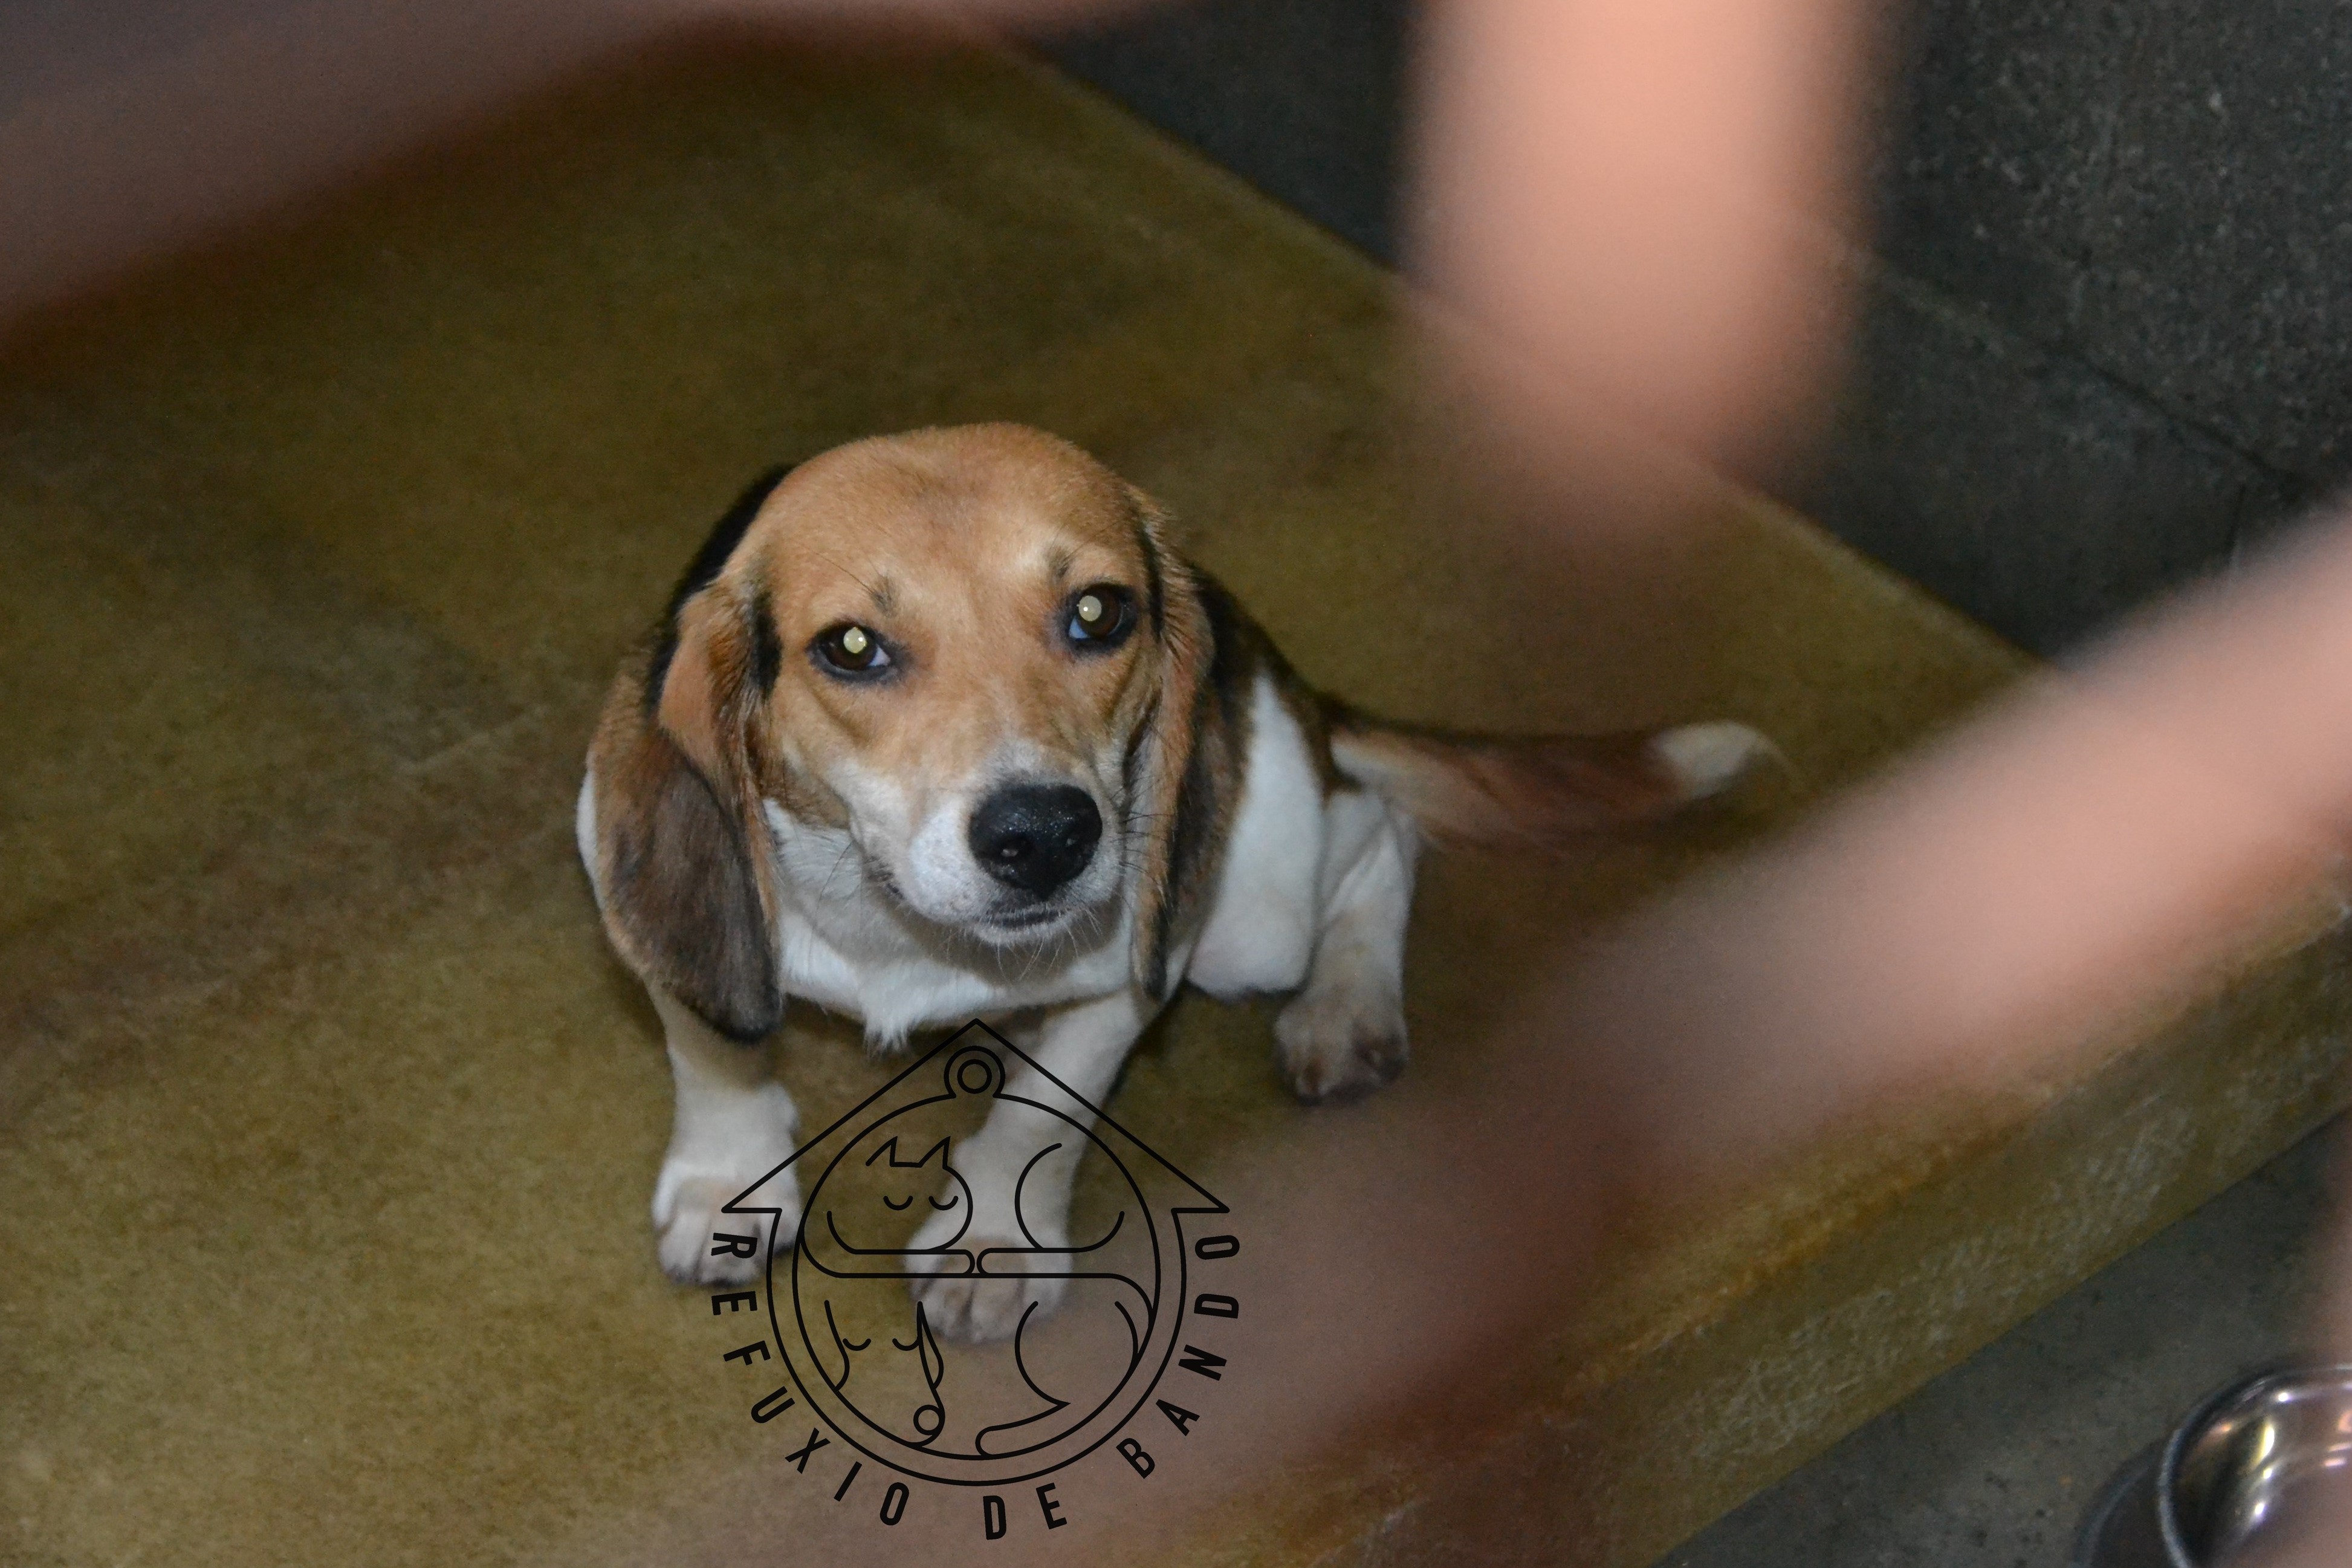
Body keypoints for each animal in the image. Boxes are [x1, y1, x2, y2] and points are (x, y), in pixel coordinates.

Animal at [575, 423, 1769, 1342]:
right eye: (854, 646)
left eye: (1098, 613)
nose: (1046, 834)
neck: (903, 929)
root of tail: (1281, 671)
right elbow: (717, 1046)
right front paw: (726, 1181)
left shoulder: (1132, 970)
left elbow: (1042, 1116)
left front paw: (994, 1244)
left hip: (1260, 914)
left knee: (1381, 830)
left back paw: (1345, 1006)